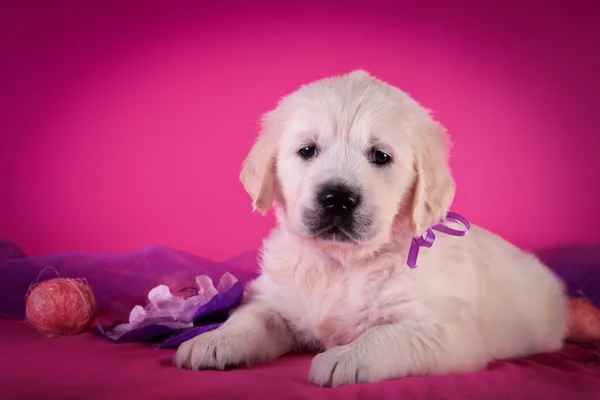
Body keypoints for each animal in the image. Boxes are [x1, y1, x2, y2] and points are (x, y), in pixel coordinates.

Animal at [173, 70, 568, 386]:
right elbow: (250, 317)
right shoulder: (275, 298)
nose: (337, 199)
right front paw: (213, 340)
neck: (338, 264)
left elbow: (388, 335)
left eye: (380, 156)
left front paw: (345, 357)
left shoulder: (449, 330)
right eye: (307, 150)